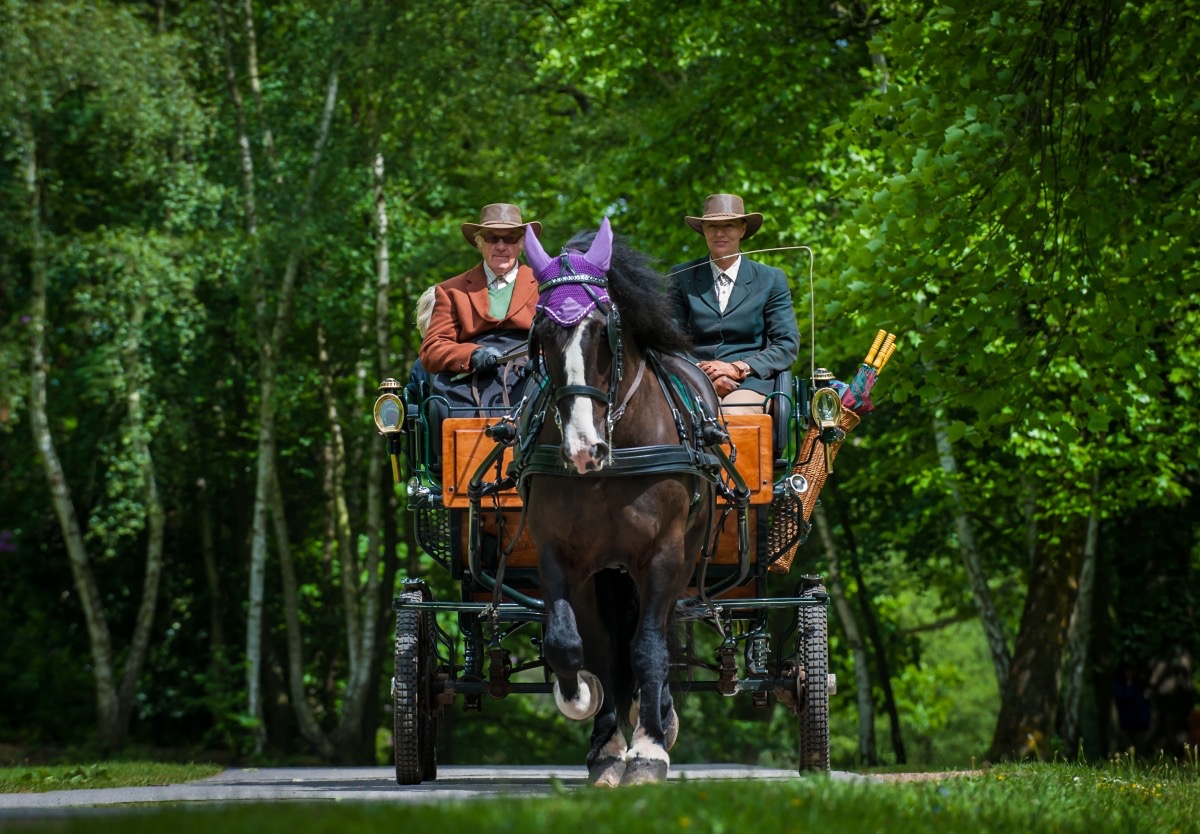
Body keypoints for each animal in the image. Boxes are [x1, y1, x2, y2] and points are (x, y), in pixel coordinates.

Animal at [513, 218, 724, 787]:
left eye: (601, 328)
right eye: (541, 333)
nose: (583, 449)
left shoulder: (664, 556)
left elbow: (649, 648)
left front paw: (649, 749)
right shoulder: (558, 555)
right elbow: (575, 645)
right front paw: (587, 708)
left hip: (685, 555)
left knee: (657, 637)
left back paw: (659, 719)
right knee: (604, 642)